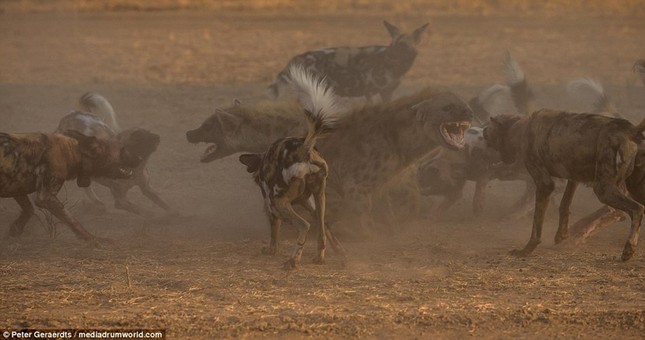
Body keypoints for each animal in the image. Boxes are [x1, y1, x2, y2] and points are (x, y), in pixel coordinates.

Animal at [0, 130, 140, 242]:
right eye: (122, 150)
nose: (140, 158)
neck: (74, 153)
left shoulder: (17, 189)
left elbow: (29, 210)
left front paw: (15, 230)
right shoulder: (45, 198)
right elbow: (73, 221)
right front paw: (91, 238)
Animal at [239, 65, 342, 268]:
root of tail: (304, 148)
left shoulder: (272, 207)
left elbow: (274, 233)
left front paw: (271, 250)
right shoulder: (308, 203)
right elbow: (326, 229)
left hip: (280, 202)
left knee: (304, 226)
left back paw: (293, 260)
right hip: (319, 197)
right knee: (321, 228)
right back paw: (319, 258)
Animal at [266, 20, 428, 101]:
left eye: (403, 47)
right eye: (392, 45)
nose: (389, 56)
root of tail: (296, 58)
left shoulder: (386, 93)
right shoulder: (370, 92)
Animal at [486, 111, 644, 260]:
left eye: (488, 132)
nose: (483, 132)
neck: (521, 128)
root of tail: (632, 130)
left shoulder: (545, 184)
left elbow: (536, 226)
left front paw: (525, 250)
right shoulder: (573, 178)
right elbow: (564, 206)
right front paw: (561, 235)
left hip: (603, 190)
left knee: (637, 209)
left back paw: (628, 249)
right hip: (633, 190)